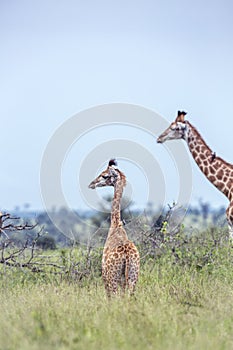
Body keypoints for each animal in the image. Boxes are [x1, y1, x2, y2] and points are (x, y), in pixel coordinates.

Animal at [88, 159, 139, 296]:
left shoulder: (105, 277)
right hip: (132, 278)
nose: (91, 184)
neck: (116, 225)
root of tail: (127, 255)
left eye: (105, 175)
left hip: (113, 279)